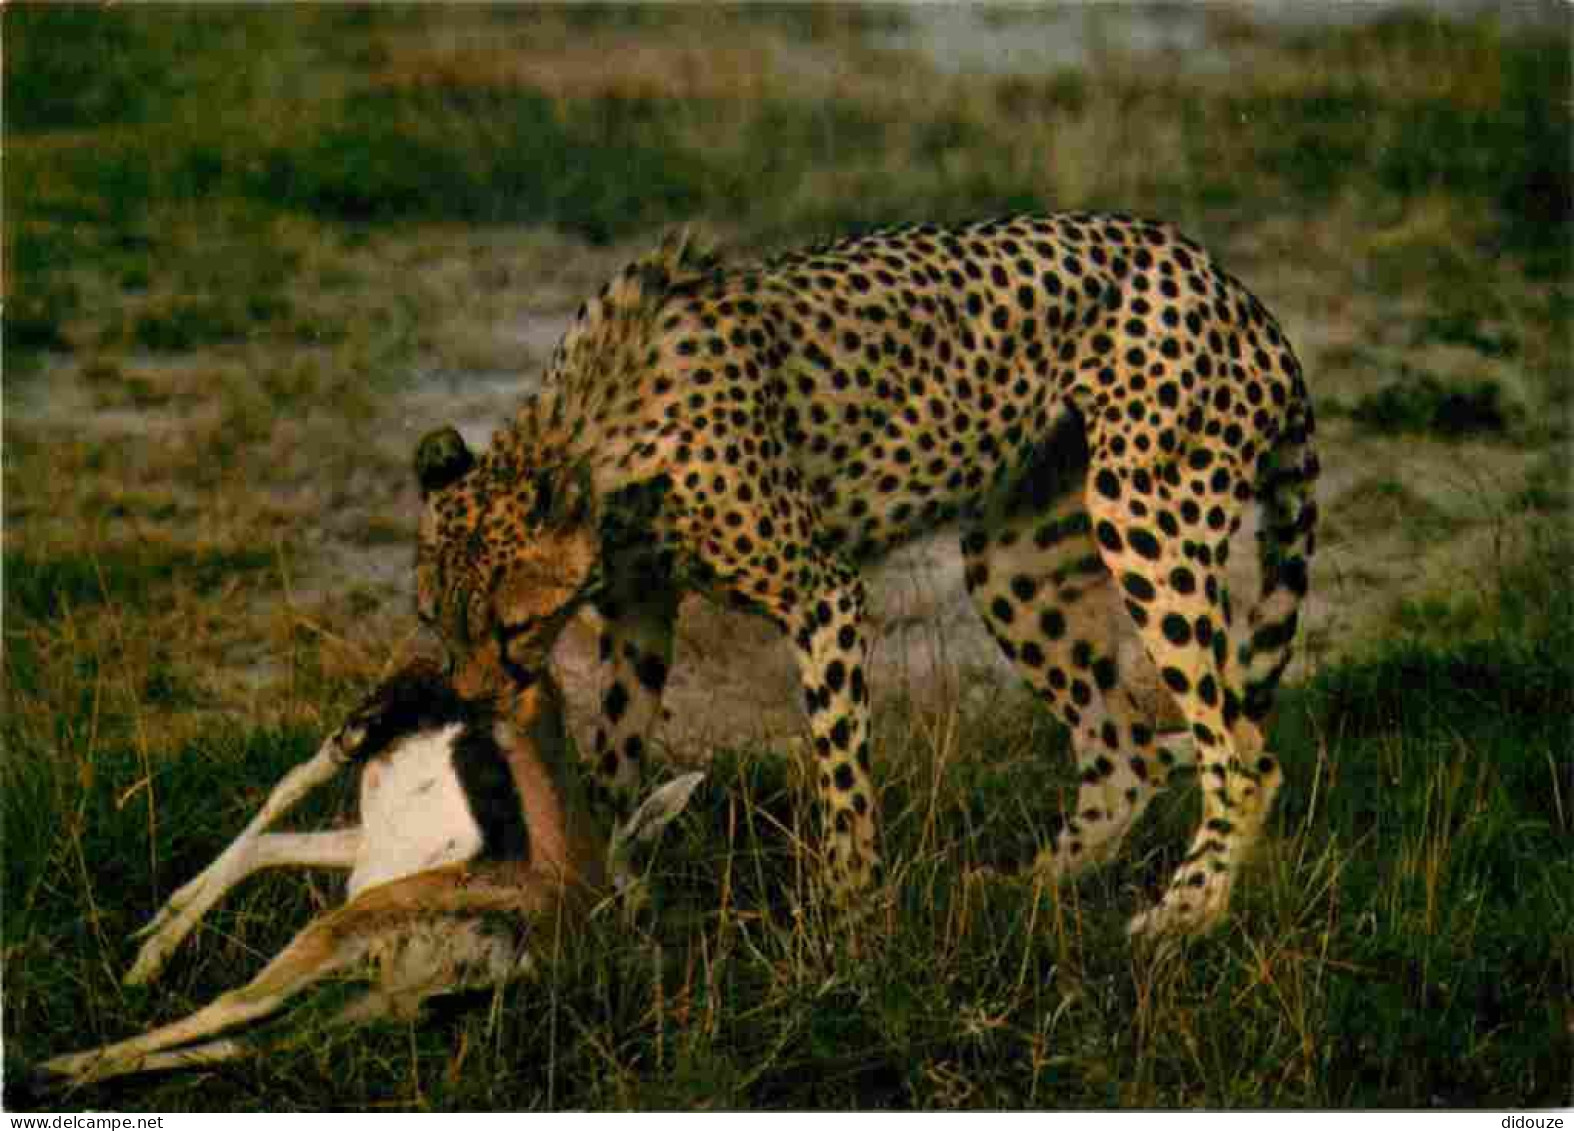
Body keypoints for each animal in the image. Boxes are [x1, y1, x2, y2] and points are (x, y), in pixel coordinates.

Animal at [412, 212, 1309, 937]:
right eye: (432, 621)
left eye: (515, 625)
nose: (476, 704)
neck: (602, 421)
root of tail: (1229, 283)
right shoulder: (641, 611)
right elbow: (611, 759)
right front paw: (598, 898)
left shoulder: (823, 594)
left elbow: (841, 776)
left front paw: (849, 917)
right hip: (1016, 565)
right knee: (1124, 749)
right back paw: (1031, 893)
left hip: (1144, 517)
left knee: (1243, 754)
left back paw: (1184, 914)